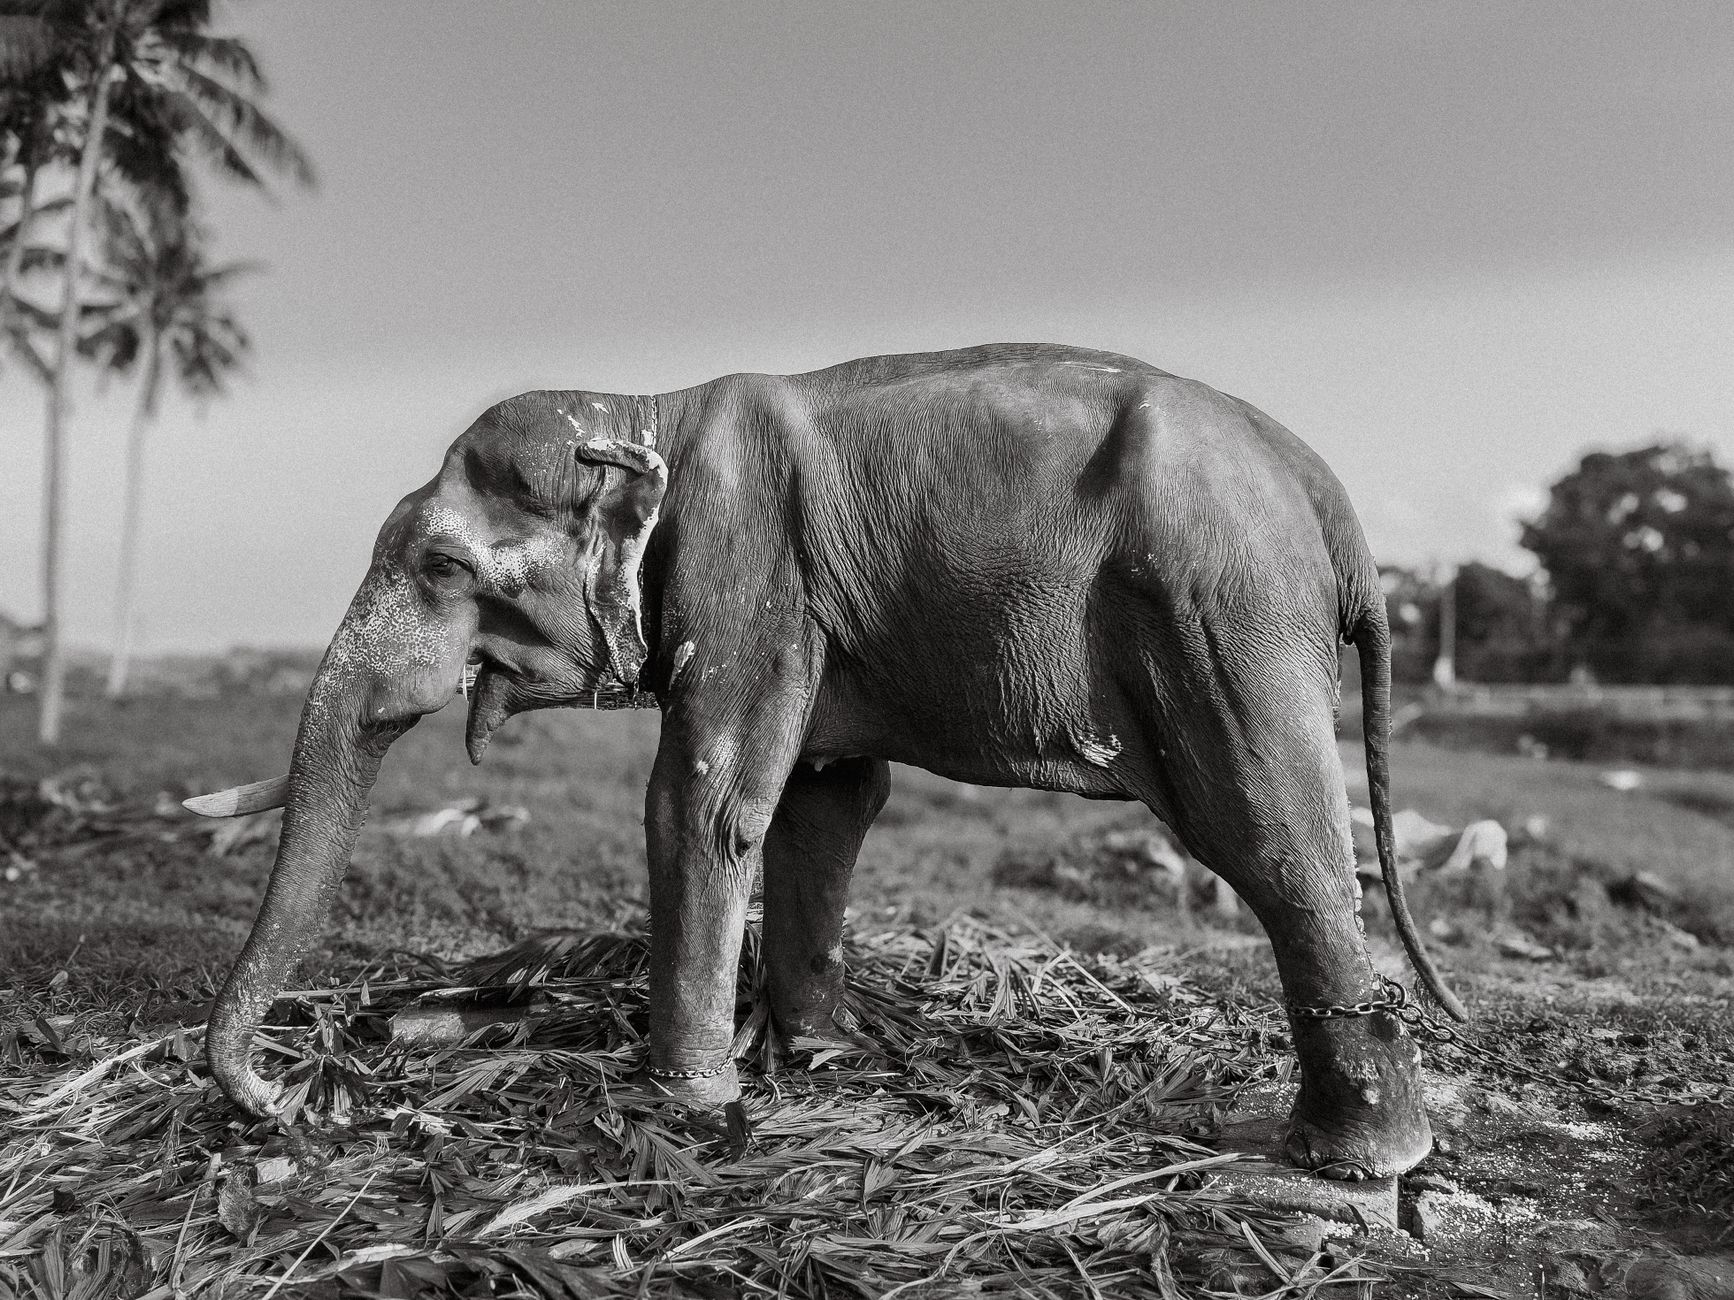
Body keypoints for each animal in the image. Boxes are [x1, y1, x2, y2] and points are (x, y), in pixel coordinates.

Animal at [189, 342, 1463, 1180]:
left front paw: (689, 1107)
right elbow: (826, 798)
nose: (292, 1102)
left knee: (1273, 841)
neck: (649, 406)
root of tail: (1331, 500)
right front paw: (822, 1056)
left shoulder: (745, 568)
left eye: (444, 568)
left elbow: (705, 802)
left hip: (1225, 619)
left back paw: (1349, 1162)